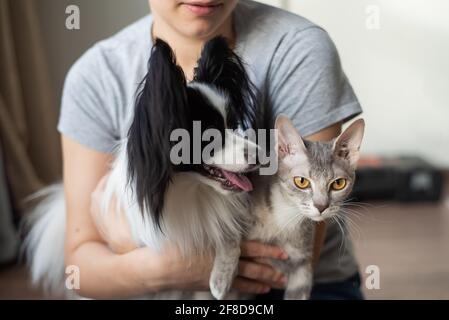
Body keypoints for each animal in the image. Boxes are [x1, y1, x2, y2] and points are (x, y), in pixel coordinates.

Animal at [210, 115, 364, 300]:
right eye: (301, 182)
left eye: (339, 184)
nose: (321, 206)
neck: (284, 218)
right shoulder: (234, 205)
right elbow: (228, 231)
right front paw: (221, 278)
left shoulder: (302, 263)